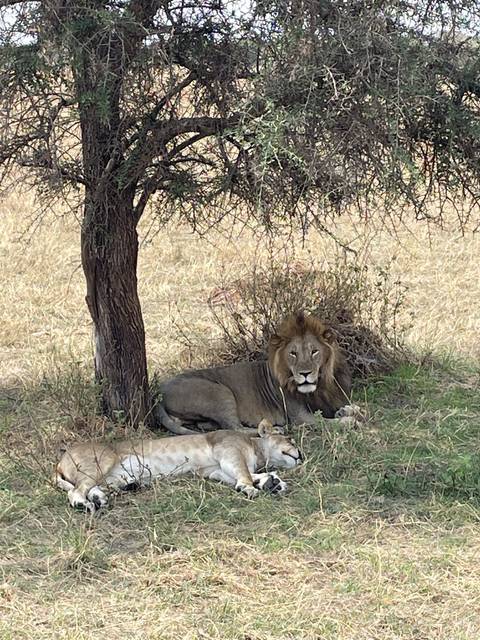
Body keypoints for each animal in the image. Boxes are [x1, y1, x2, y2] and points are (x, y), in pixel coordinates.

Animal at [55, 420, 303, 512]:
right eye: (290, 439)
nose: (301, 455)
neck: (257, 449)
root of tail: (61, 460)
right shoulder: (228, 450)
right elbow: (244, 472)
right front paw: (251, 487)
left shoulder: (213, 470)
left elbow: (246, 474)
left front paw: (272, 482)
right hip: (102, 460)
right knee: (76, 490)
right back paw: (83, 504)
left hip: (113, 477)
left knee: (92, 487)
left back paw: (99, 500)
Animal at [155, 311, 356, 436]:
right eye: (293, 353)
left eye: (314, 351)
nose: (305, 373)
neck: (319, 386)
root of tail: (158, 393)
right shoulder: (301, 418)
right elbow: (327, 422)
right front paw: (349, 420)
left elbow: (351, 408)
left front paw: (347, 411)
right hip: (220, 392)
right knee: (235, 429)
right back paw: (275, 430)